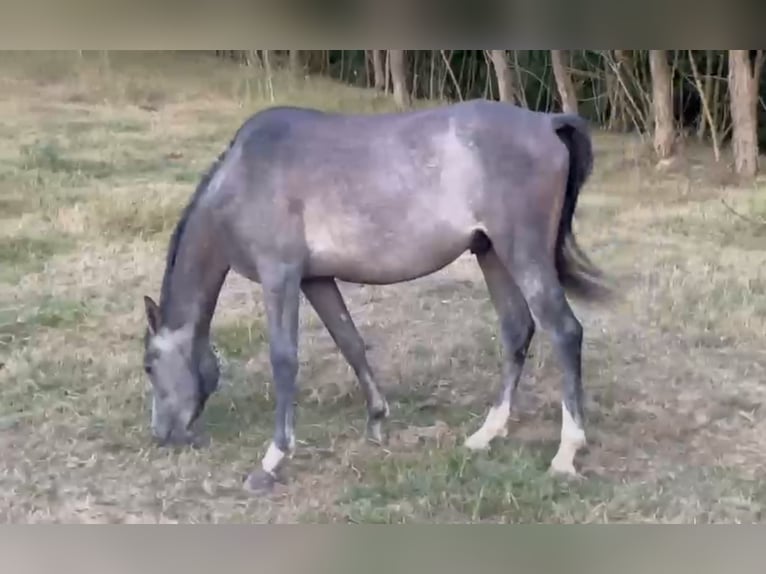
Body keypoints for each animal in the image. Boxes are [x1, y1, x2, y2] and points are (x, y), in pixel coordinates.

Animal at [141, 98, 609, 493]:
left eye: (149, 365)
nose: (162, 435)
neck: (243, 176)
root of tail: (546, 122)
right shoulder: (316, 280)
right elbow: (349, 341)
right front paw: (377, 420)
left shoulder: (280, 276)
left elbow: (284, 360)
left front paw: (272, 460)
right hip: (491, 253)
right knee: (517, 329)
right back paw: (486, 434)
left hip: (523, 253)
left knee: (564, 331)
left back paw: (566, 452)